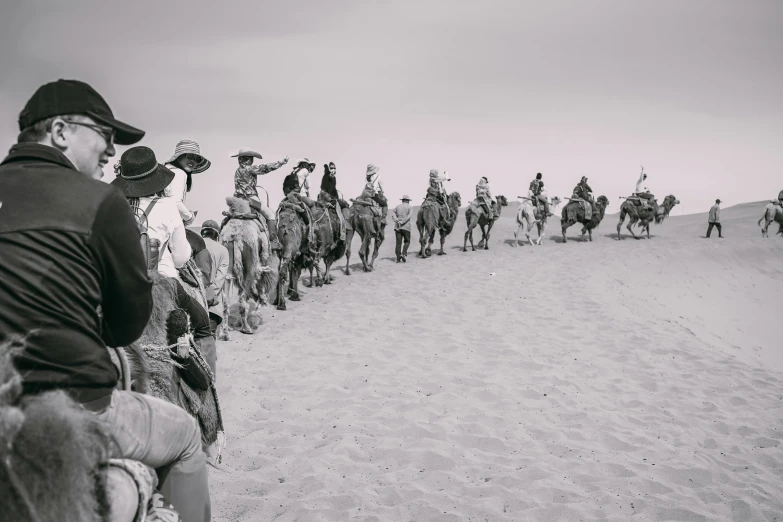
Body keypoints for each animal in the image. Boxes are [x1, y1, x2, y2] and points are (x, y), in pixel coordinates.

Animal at [220, 195, 278, 334]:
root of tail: (236, 236)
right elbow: (260, 289)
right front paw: (255, 316)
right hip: (252, 265)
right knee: (243, 298)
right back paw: (247, 328)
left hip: (228, 261)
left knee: (226, 300)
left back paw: (226, 330)